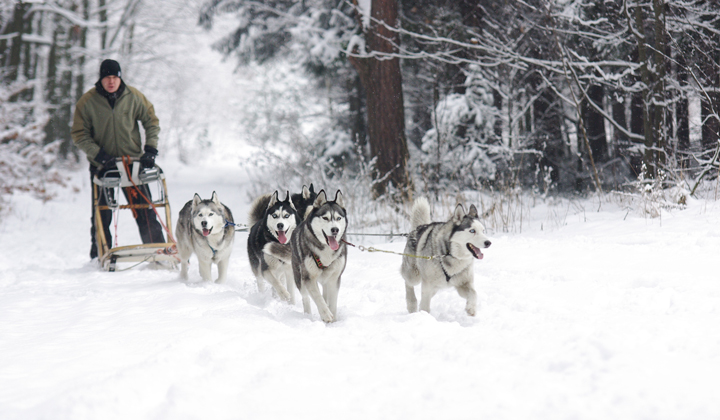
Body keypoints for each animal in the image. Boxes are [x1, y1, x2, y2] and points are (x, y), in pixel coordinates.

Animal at [292, 189, 348, 324]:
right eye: (325, 218)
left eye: (338, 218)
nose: (335, 230)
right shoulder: (309, 277)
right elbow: (317, 297)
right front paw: (326, 315)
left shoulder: (334, 278)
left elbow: (332, 301)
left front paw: (333, 319)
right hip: (299, 277)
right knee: (306, 297)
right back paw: (307, 315)